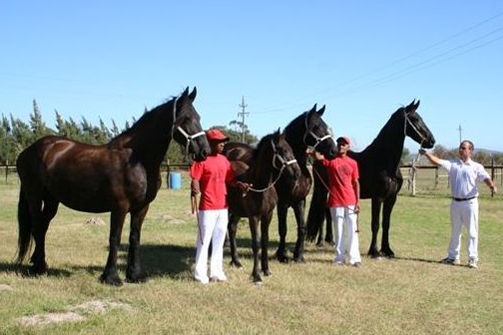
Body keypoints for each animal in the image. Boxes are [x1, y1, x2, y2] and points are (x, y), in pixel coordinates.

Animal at [15, 86, 209, 286]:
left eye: (198, 117)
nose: (205, 151)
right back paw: (38, 267)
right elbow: (115, 238)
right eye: (186, 118)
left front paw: (135, 275)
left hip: (52, 199)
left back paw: (40, 264)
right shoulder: (119, 207)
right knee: (37, 225)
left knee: (43, 226)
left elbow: (134, 238)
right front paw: (111, 277)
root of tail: (28, 151)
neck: (137, 160)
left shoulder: (141, 208)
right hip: (35, 195)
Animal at [224, 131, 300, 284]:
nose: (297, 173)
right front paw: (256, 275)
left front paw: (266, 270)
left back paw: (236, 262)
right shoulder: (254, 217)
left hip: (237, 211)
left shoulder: (268, 215)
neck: (260, 186)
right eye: (283, 150)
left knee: (232, 227)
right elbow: (256, 244)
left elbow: (265, 241)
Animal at [274, 104, 336, 262]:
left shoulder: (300, 201)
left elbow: (302, 227)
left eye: (325, 126)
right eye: (316, 127)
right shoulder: (283, 203)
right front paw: (281, 254)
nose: (334, 150)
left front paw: (299, 255)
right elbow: (282, 229)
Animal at [308, 100, 438, 258]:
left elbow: (386, 223)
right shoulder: (378, 197)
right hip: (322, 189)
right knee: (321, 212)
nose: (431, 141)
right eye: (415, 119)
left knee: (327, 211)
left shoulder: (391, 198)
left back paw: (331, 241)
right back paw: (320, 241)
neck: (385, 162)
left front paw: (387, 250)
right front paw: (374, 251)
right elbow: (375, 224)